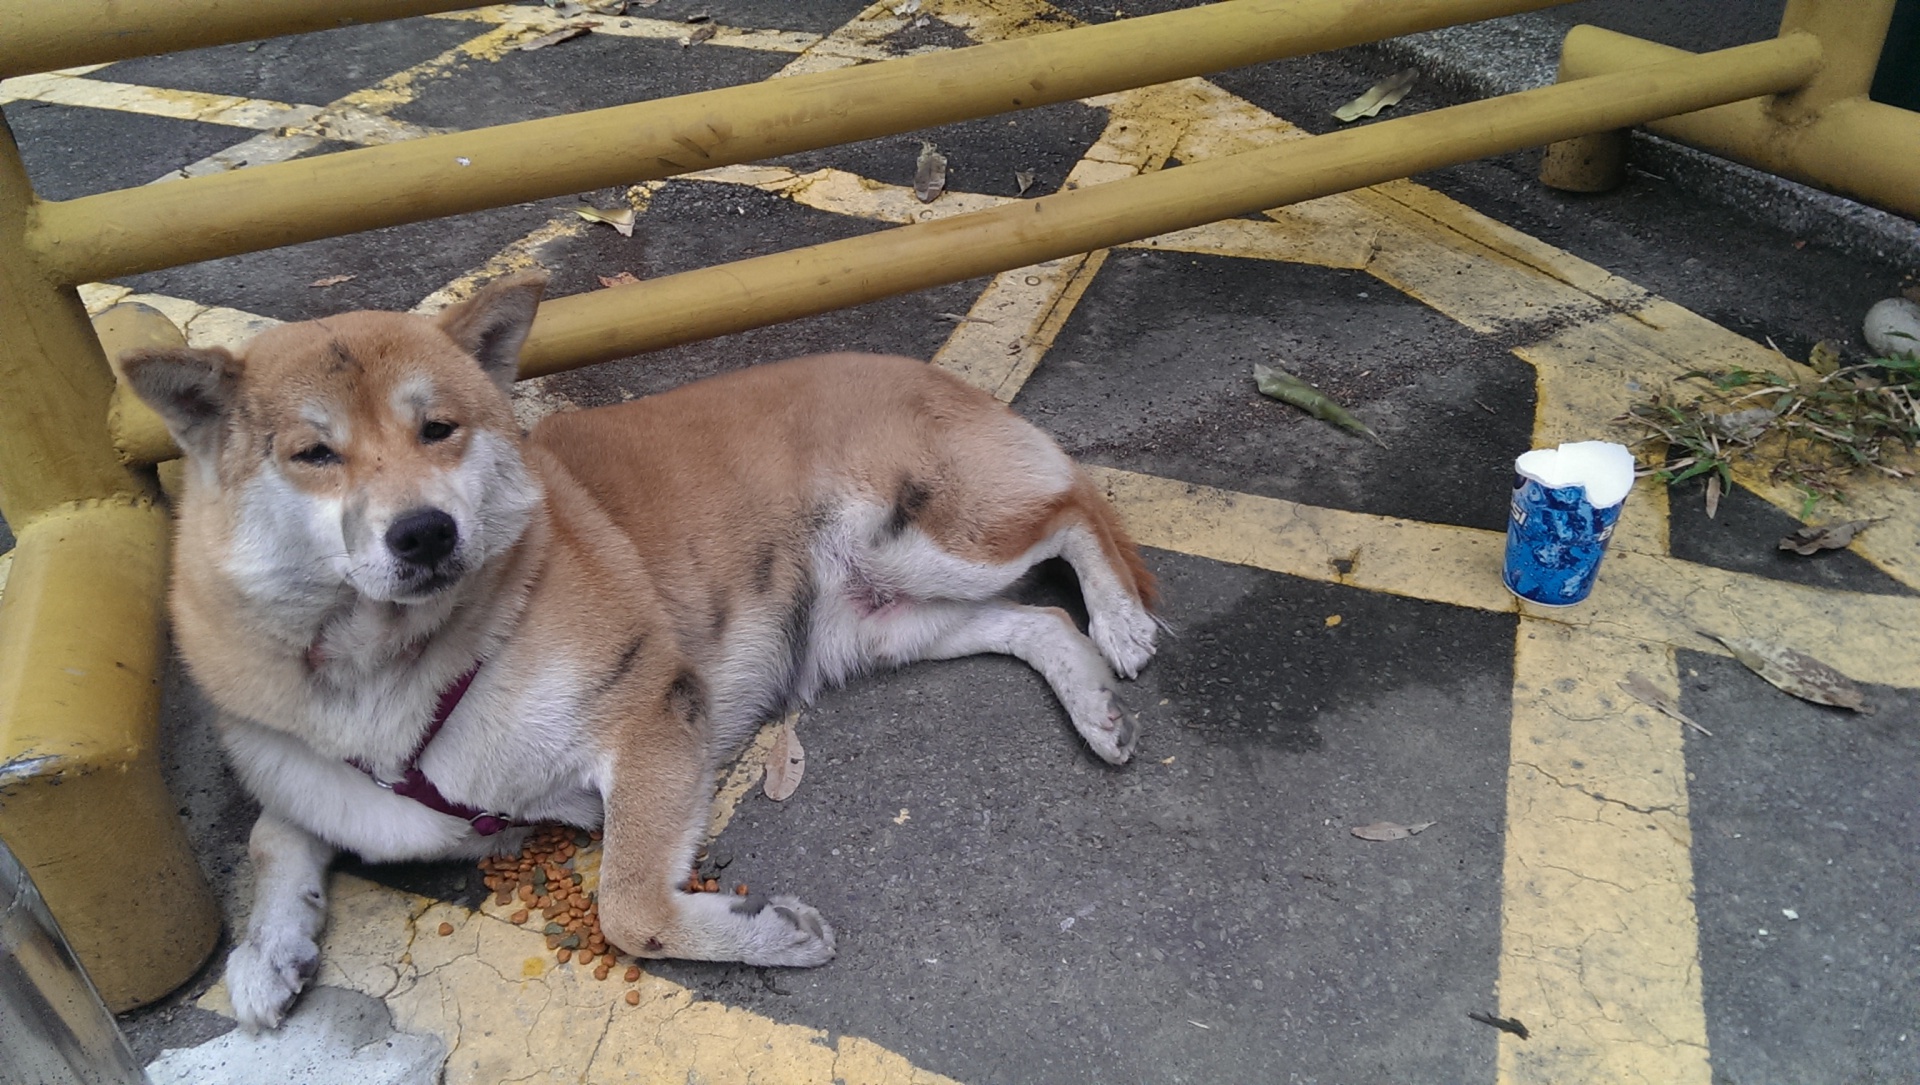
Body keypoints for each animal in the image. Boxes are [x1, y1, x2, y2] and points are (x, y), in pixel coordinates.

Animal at [122, 272, 1158, 1031]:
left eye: (438, 429)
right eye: (313, 454)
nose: (423, 532)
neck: (392, 674)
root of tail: (924, 367)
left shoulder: (653, 708)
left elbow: (628, 907)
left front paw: (768, 933)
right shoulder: (318, 769)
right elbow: (273, 830)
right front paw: (268, 950)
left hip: (920, 533)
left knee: (1076, 510)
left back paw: (1121, 621)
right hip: (887, 618)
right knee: (1034, 621)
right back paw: (1093, 701)